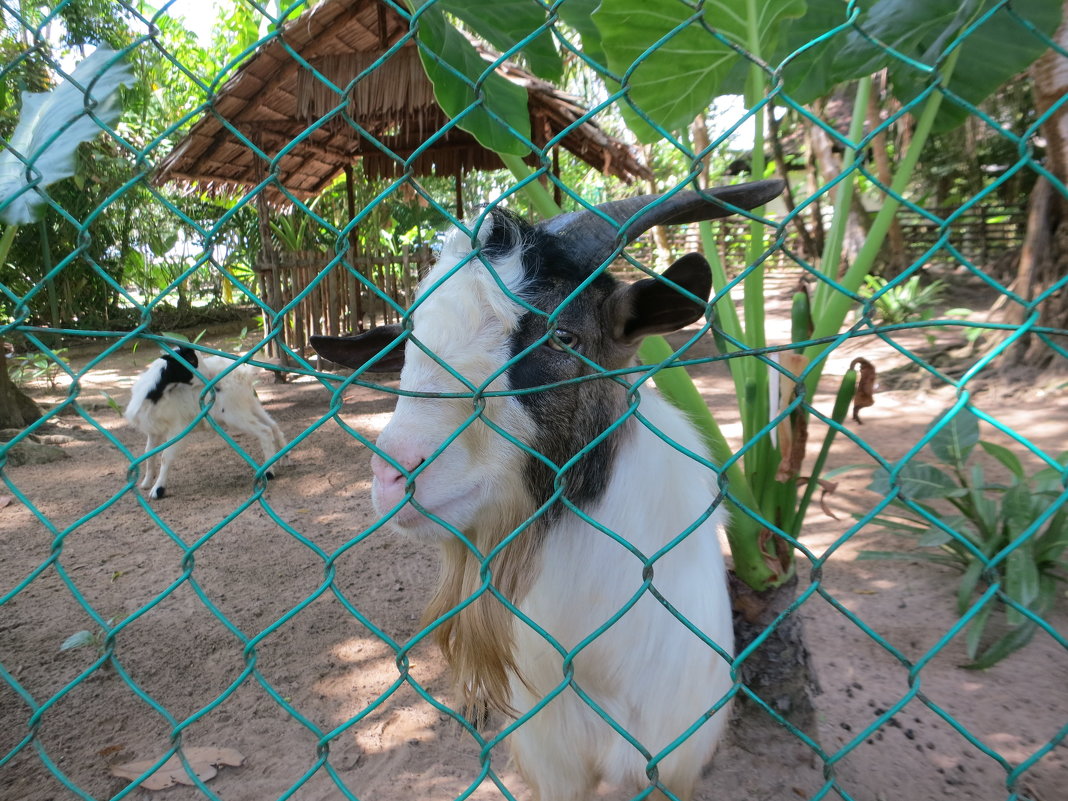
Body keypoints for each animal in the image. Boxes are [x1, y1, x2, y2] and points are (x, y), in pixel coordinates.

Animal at [123, 346, 288, 499]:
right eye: (191, 360)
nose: (209, 377)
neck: (156, 393)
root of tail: (243, 375)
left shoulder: (178, 428)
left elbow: (165, 456)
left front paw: (158, 490)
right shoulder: (154, 430)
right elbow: (149, 454)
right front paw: (146, 483)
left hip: (235, 415)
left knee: (264, 431)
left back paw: (268, 472)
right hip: (250, 405)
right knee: (273, 426)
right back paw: (284, 458)